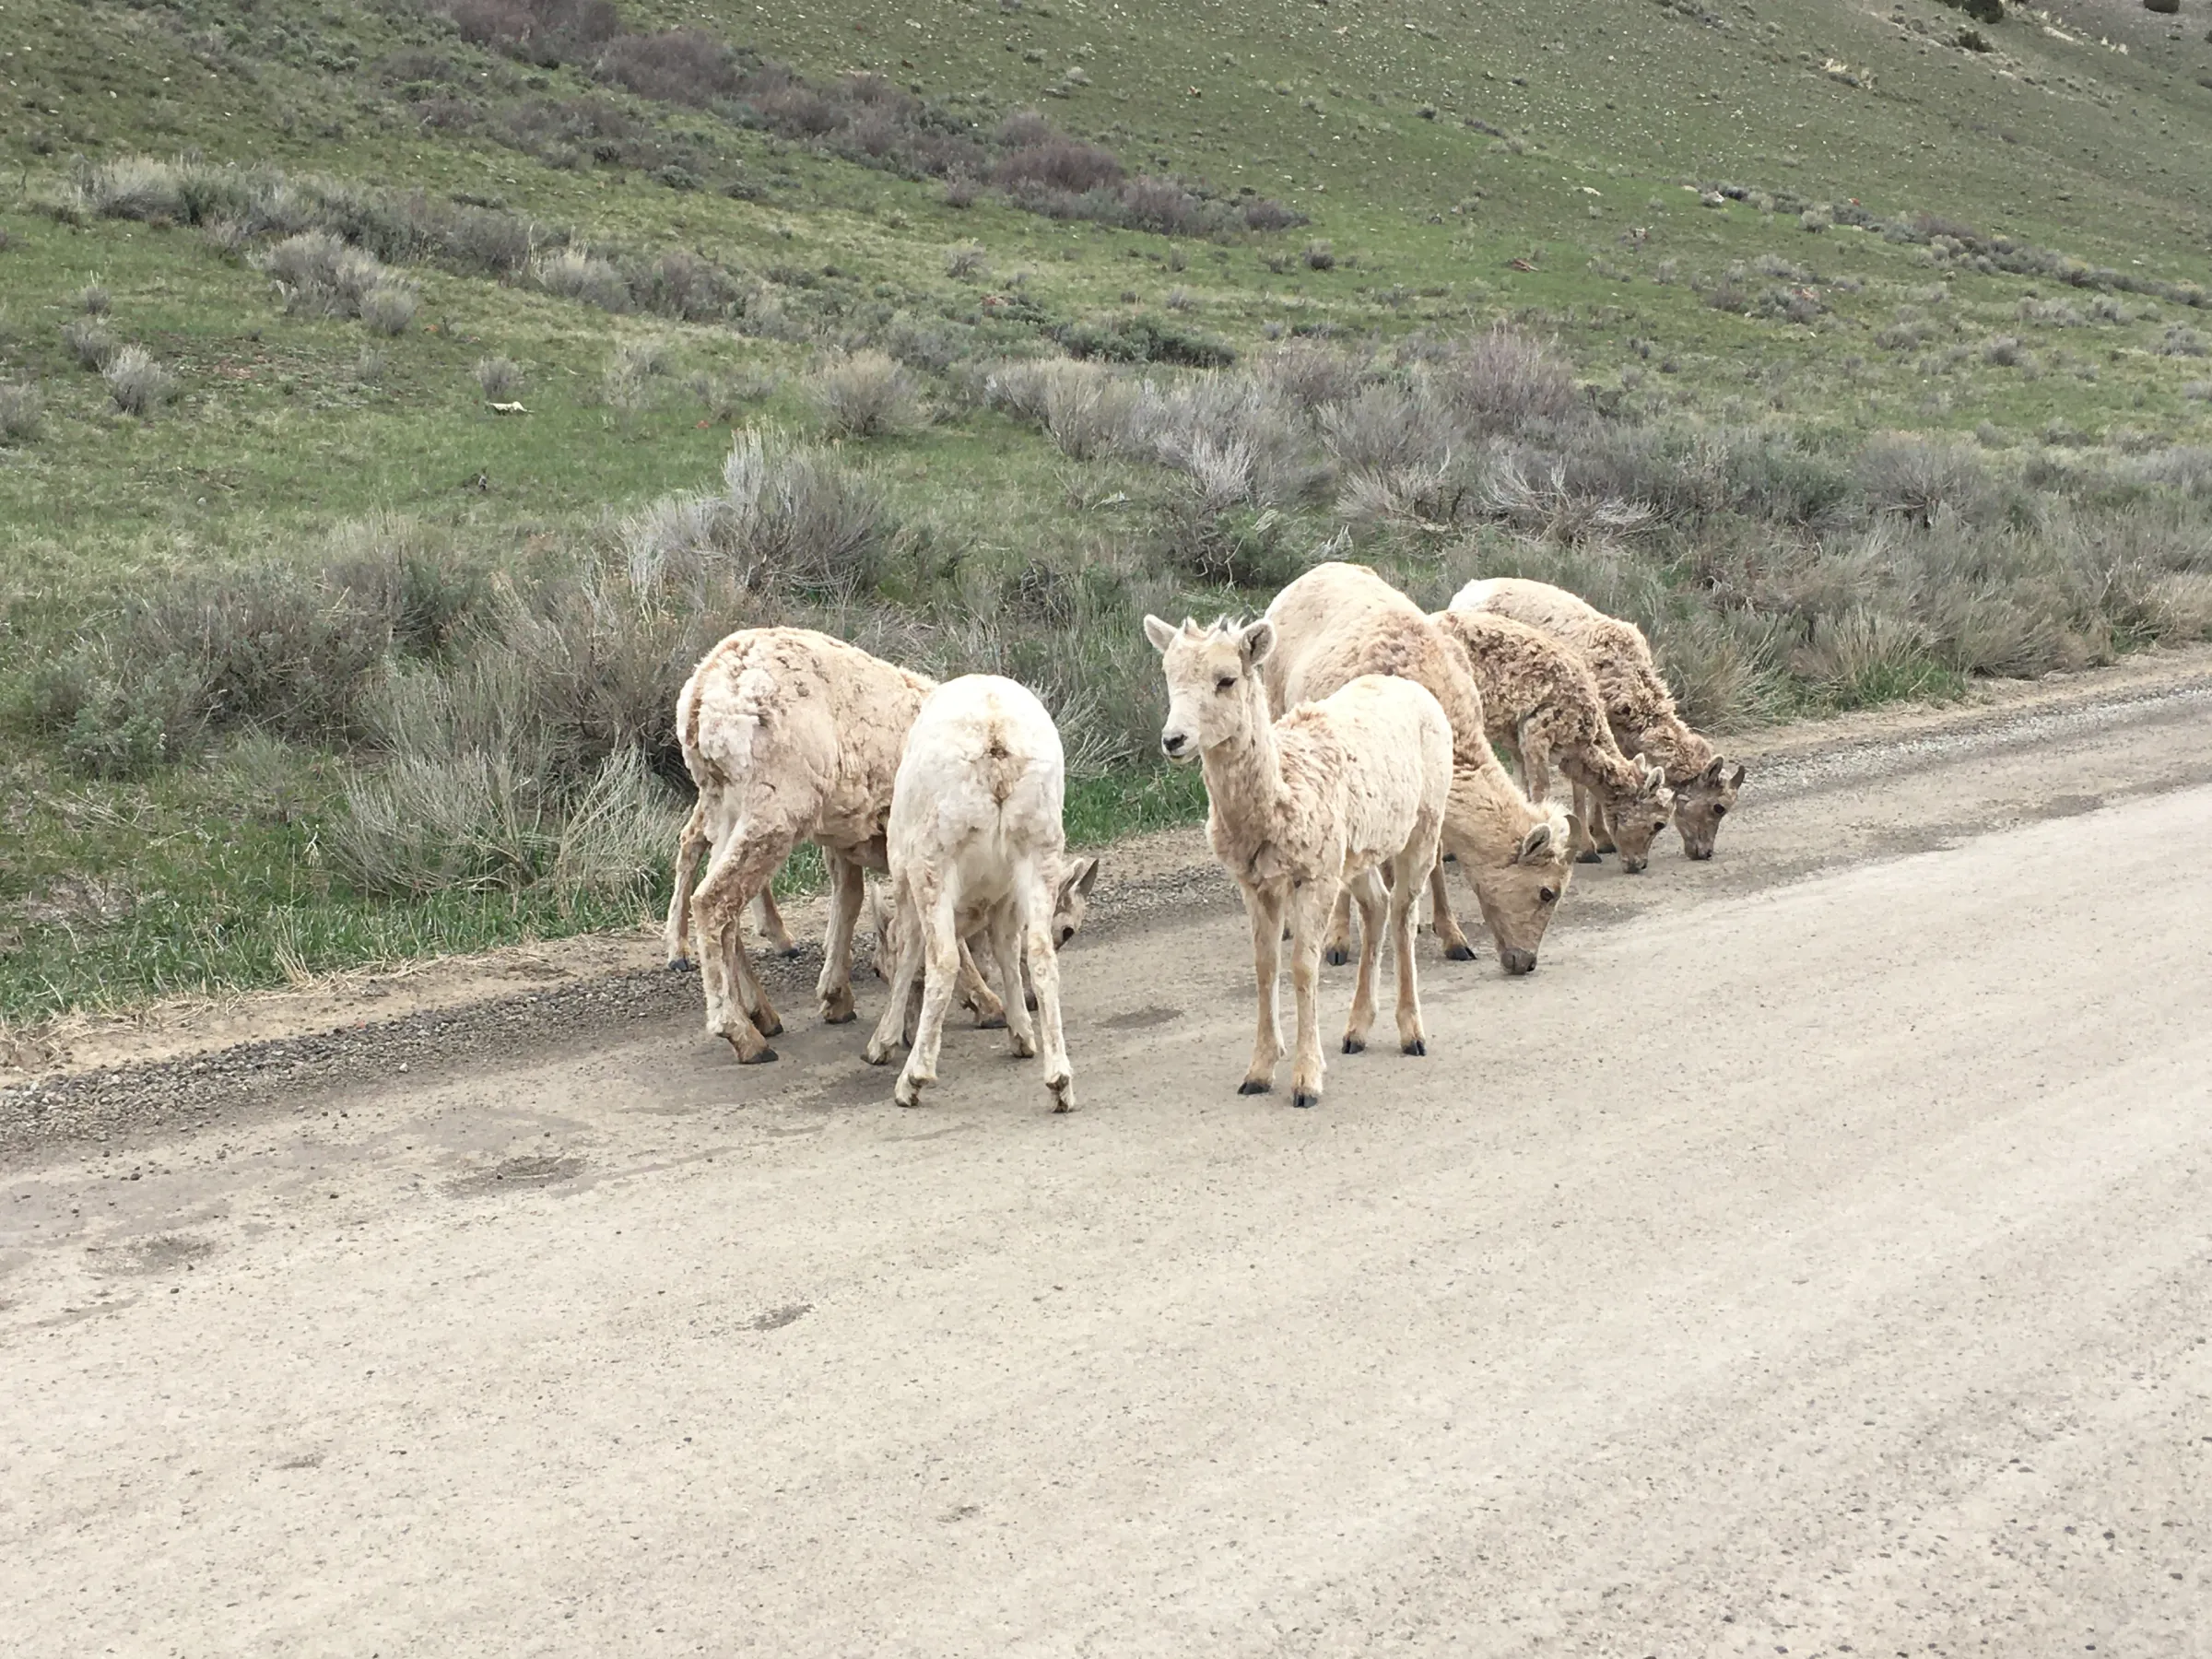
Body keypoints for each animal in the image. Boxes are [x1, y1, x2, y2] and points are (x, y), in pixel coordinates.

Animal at [861, 675, 1091, 1112]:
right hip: (1041, 851)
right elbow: (1007, 950)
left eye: (876, 971)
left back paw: (912, 1080)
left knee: (944, 959)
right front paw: (1021, 1036)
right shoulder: (1006, 897)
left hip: (935, 860)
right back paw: (1060, 1082)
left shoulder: (907, 885)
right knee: (1041, 955)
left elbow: (908, 954)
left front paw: (881, 1045)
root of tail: (994, 738)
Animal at [1147, 615, 1451, 1109]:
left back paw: (1412, 1034)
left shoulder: (1315, 877)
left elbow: (1304, 968)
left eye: (1226, 680)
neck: (1278, 794)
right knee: (1377, 906)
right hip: (1356, 849)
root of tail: (1413, 689)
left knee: (1405, 914)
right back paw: (1356, 1031)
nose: (1174, 740)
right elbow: (1265, 965)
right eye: (1169, 676)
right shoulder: (1255, 884)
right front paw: (1258, 1072)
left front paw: (1306, 1080)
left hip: (1423, 826)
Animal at [1261, 563, 1578, 975]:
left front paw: (1452, 936)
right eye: (1546, 892)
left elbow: (1434, 861)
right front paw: (1339, 940)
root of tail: (1321, 568)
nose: (1526, 962)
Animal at [1451, 576, 1746, 860]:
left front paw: (1602, 838)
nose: (1704, 853)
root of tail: (1468, 591)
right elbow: (1581, 789)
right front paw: (1589, 848)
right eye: (1718, 807)